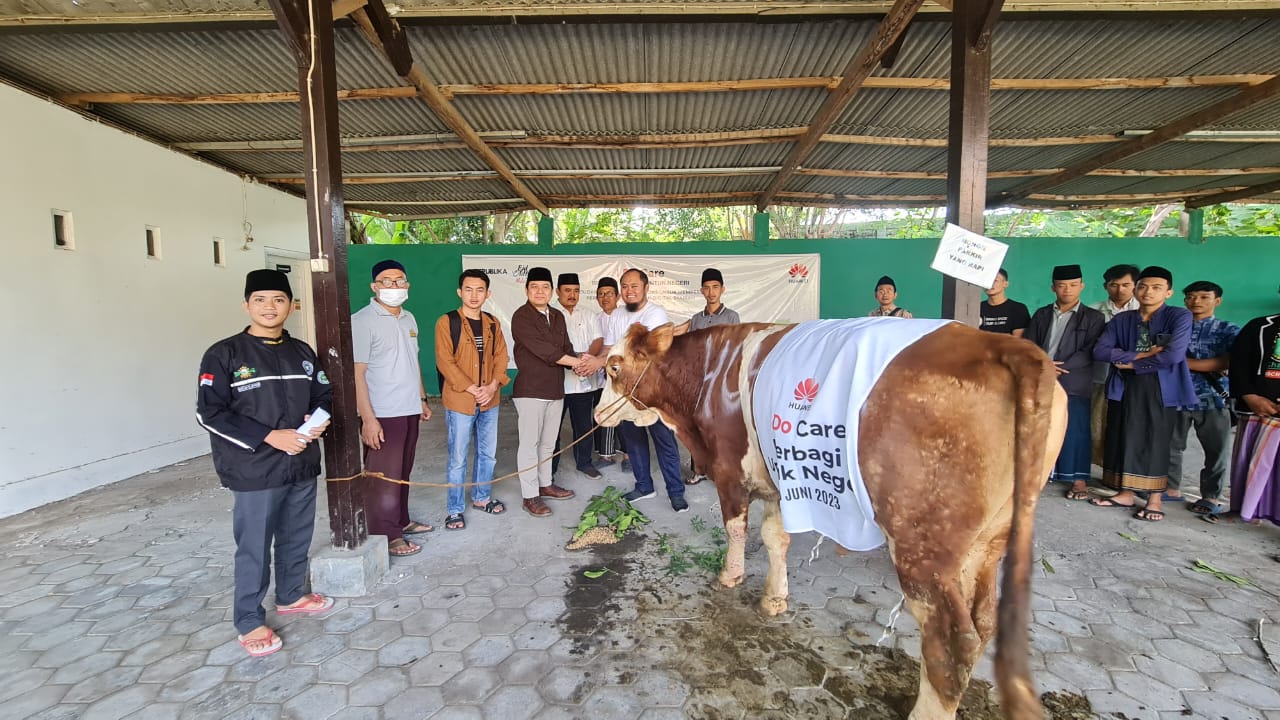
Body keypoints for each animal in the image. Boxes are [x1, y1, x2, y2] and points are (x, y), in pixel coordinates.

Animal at [599, 320, 1070, 717]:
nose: (595, 413)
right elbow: (775, 537)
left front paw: (730, 577)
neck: (712, 374)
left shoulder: (731, 470)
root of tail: (1005, 346)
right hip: (989, 541)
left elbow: (736, 527)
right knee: (984, 620)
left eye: (613, 366)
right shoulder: (778, 480)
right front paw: (775, 598)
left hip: (924, 547)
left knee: (952, 642)